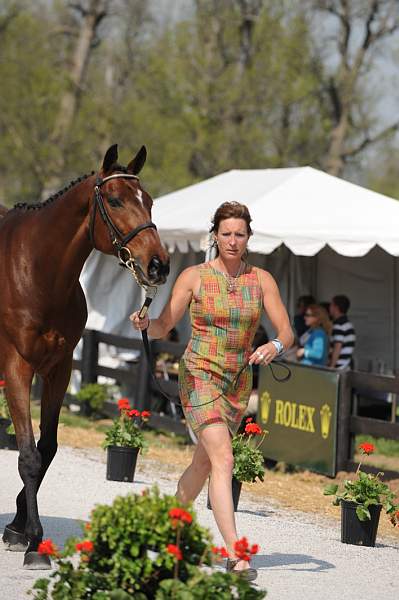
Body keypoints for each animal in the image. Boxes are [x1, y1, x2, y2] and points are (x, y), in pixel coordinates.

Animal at [0, 145, 170, 568]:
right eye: (115, 200)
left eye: (150, 201)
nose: (159, 265)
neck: (36, 272)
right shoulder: (17, 367)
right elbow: (27, 454)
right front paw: (34, 541)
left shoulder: (58, 371)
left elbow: (46, 449)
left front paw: (19, 528)